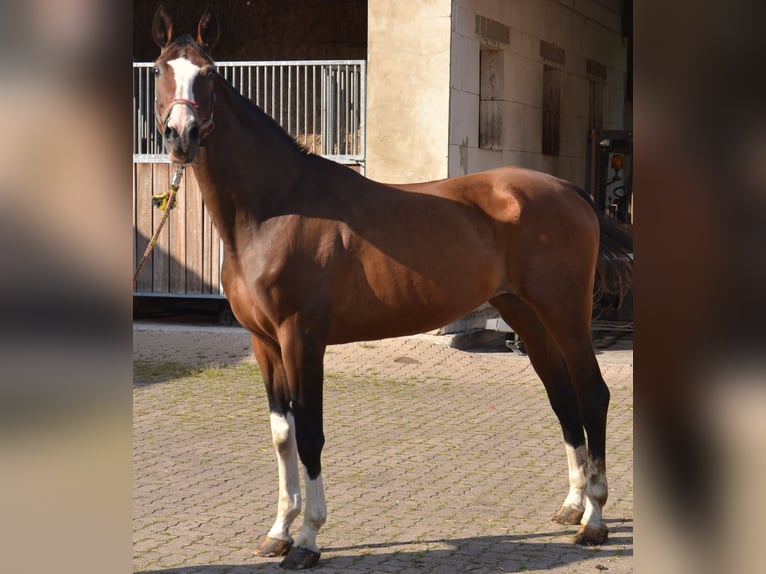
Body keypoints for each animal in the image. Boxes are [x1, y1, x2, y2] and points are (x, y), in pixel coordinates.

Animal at [150, 6, 632, 570]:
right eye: (160, 69)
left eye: (208, 73)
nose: (180, 135)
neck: (274, 207)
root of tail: (570, 192)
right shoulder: (264, 343)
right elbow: (282, 434)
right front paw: (278, 531)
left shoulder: (301, 339)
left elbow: (309, 432)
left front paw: (308, 539)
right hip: (526, 316)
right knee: (561, 396)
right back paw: (572, 506)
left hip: (566, 314)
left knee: (592, 394)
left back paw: (594, 520)